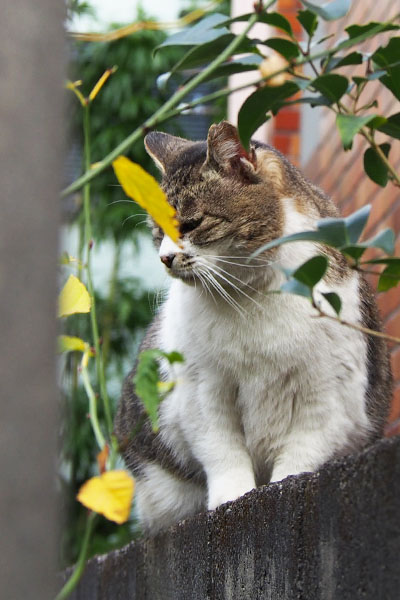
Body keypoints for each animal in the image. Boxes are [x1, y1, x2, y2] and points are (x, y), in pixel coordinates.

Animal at [114, 122, 392, 536]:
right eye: (156, 232)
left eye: (191, 224)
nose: (164, 258)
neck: (249, 295)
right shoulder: (202, 390)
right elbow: (222, 451)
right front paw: (231, 499)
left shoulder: (328, 393)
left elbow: (300, 456)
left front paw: (282, 486)